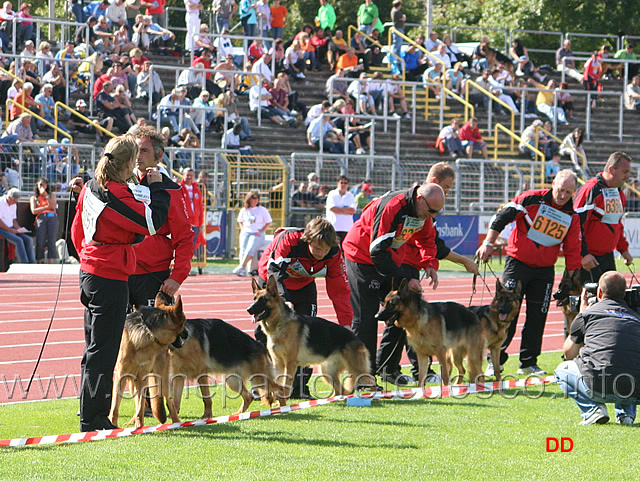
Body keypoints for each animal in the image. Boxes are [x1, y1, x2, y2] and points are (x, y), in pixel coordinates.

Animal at [109, 292, 185, 428]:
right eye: (184, 324)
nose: (186, 336)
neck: (147, 332)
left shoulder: (142, 378)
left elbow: (140, 405)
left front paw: (140, 426)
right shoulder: (121, 376)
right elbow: (115, 406)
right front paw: (113, 424)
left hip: (162, 380)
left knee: (169, 402)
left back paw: (177, 422)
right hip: (132, 382)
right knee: (142, 403)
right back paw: (132, 421)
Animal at [154, 316, 288, 416]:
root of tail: (260, 345)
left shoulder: (201, 374)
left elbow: (206, 398)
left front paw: (207, 416)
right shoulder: (179, 376)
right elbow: (175, 401)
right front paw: (173, 418)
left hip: (258, 379)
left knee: (280, 389)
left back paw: (284, 409)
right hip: (232, 381)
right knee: (249, 396)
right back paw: (239, 414)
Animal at [246, 276, 376, 396]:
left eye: (263, 300)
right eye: (254, 299)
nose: (248, 309)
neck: (280, 324)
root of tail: (357, 339)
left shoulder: (290, 363)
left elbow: (286, 386)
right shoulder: (277, 364)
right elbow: (278, 385)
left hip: (357, 371)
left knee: (372, 382)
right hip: (327, 372)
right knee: (340, 390)